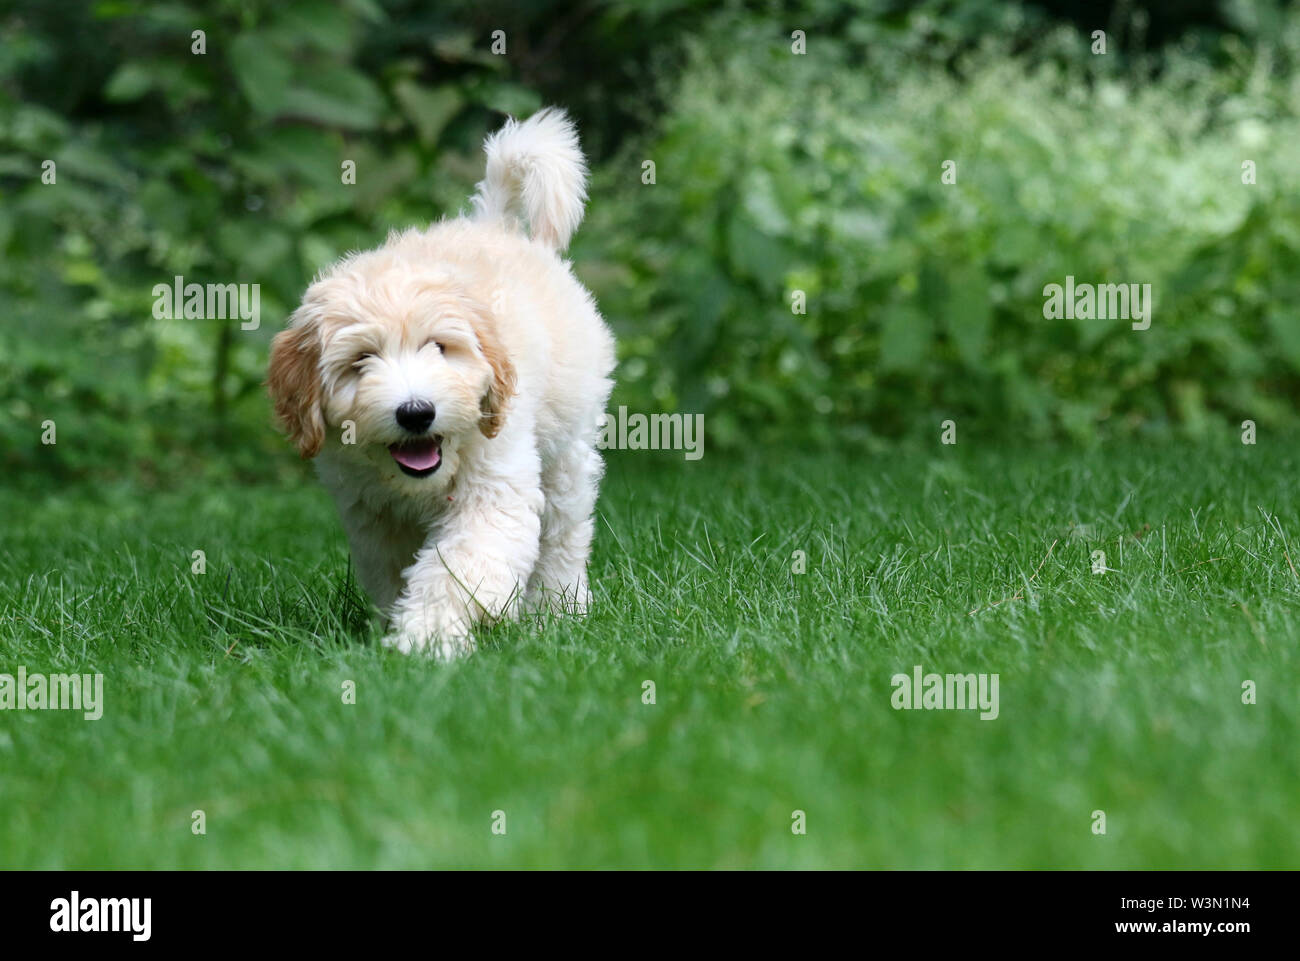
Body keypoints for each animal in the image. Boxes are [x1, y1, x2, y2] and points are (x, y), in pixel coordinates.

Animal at [266, 109, 616, 658]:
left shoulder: (495, 488)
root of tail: (495, 226)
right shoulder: (372, 516)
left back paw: (557, 613)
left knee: (564, 535)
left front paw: (427, 638)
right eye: (362, 360)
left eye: (439, 347)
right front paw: (402, 626)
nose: (416, 412)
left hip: (567, 450)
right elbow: (396, 573)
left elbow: (457, 569)